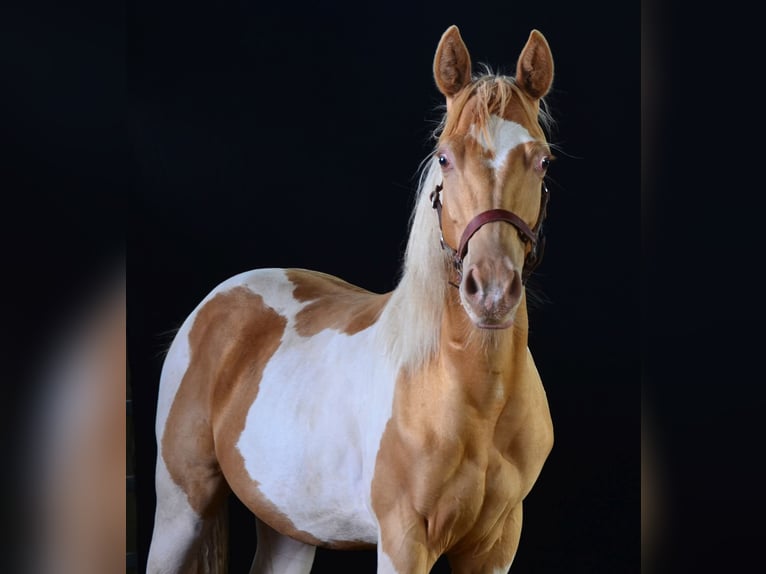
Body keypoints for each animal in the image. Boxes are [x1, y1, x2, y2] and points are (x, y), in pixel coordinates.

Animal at [147, 24, 556, 574]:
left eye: (542, 161)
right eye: (445, 157)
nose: (490, 292)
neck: (472, 396)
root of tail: (214, 303)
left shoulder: (496, 544)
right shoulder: (403, 541)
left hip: (289, 526)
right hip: (181, 506)